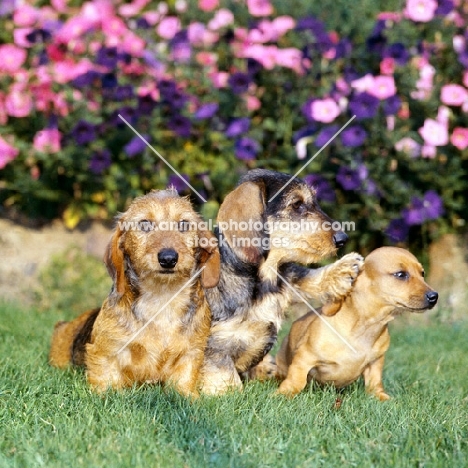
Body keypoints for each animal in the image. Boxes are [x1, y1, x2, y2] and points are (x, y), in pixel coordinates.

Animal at [48, 188, 220, 396]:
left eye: (184, 224)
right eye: (144, 223)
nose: (168, 258)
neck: (162, 298)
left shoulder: (191, 354)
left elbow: (184, 384)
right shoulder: (105, 352)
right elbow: (105, 382)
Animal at [199, 170, 364, 394]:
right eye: (297, 204)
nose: (342, 238)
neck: (262, 280)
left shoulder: (287, 277)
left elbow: (306, 277)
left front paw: (343, 269)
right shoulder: (216, 345)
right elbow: (226, 377)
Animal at [276, 247, 436, 400]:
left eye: (422, 273)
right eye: (401, 274)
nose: (434, 296)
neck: (366, 329)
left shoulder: (375, 363)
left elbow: (375, 386)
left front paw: (385, 398)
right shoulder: (304, 358)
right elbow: (296, 380)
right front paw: (284, 393)